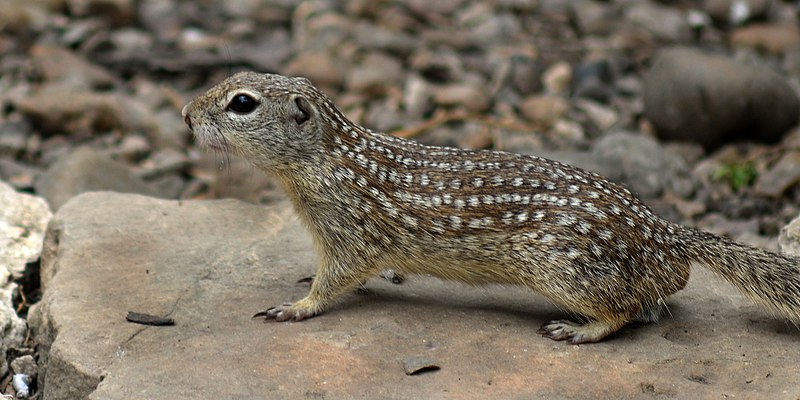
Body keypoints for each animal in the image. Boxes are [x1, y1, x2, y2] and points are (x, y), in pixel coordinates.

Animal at [181, 72, 800, 344]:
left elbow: (336, 280)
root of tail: (666, 234)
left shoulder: (351, 234)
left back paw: (579, 331)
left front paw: (297, 306)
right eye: (231, 81)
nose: (186, 115)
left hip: (564, 272)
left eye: (242, 103)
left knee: (621, 312)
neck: (328, 158)